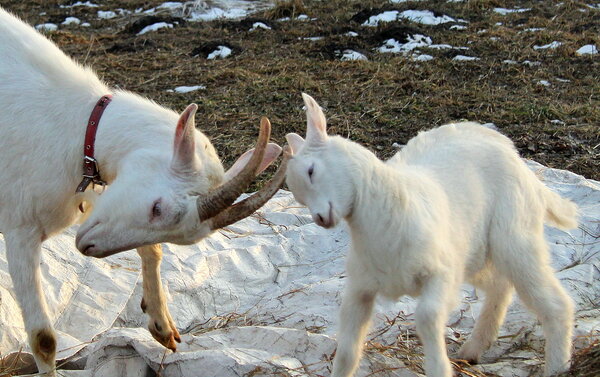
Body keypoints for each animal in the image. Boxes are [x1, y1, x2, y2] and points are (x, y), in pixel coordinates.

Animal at [1, 8, 288, 374]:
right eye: (157, 208)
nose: (87, 246)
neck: (75, 124)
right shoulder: (20, 226)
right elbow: (44, 340)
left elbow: (152, 251)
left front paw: (162, 324)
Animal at [284, 92, 576, 374]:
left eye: (311, 171)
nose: (320, 218)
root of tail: (518, 159)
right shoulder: (361, 287)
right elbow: (346, 351)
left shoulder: (442, 274)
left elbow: (426, 317)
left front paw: (439, 368)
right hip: (474, 252)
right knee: (500, 285)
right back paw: (473, 349)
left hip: (514, 234)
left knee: (554, 302)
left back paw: (557, 366)